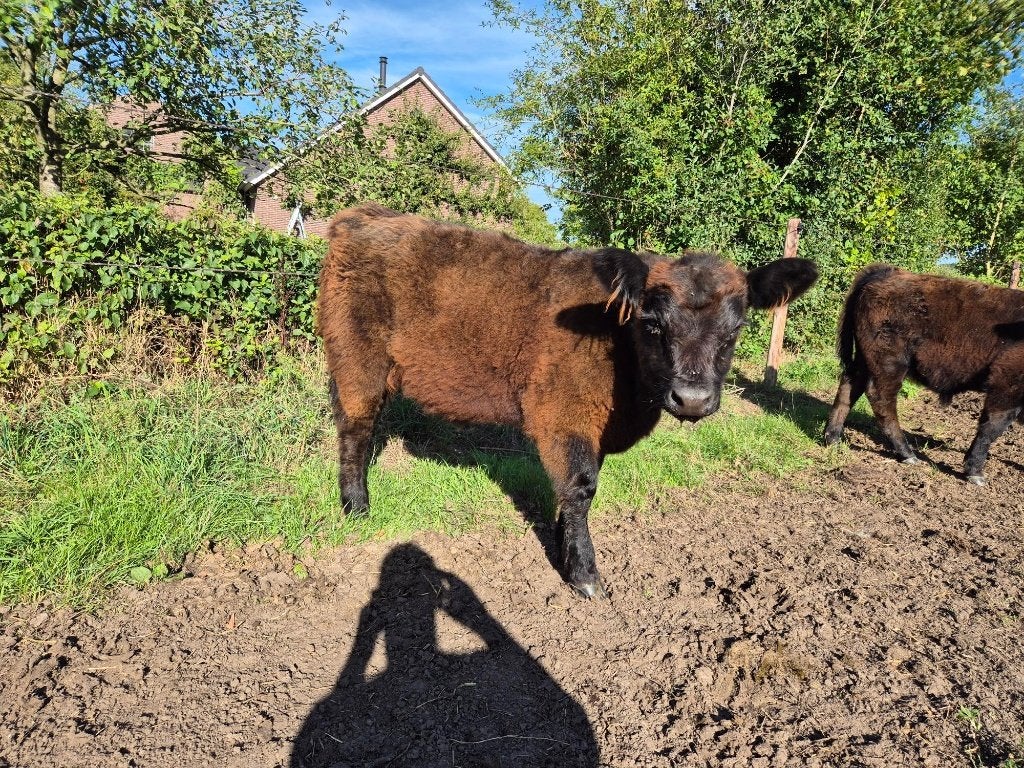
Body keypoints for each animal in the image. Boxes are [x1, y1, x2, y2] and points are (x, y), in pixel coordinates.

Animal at [318, 203, 818, 598]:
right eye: (653, 324)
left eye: (735, 330)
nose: (692, 399)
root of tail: (364, 216)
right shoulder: (564, 414)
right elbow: (581, 487)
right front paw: (584, 575)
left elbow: (575, 488)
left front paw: (563, 543)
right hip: (356, 357)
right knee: (355, 430)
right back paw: (357, 507)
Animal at [824, 264, 1024, 485]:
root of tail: (886, 273)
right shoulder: (1006, 385)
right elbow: (992, 427)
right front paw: (975, 472)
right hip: (890, 363)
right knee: (881, 399)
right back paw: (907, 454)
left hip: (864, 360)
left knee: (849, 387)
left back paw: (832, 438)